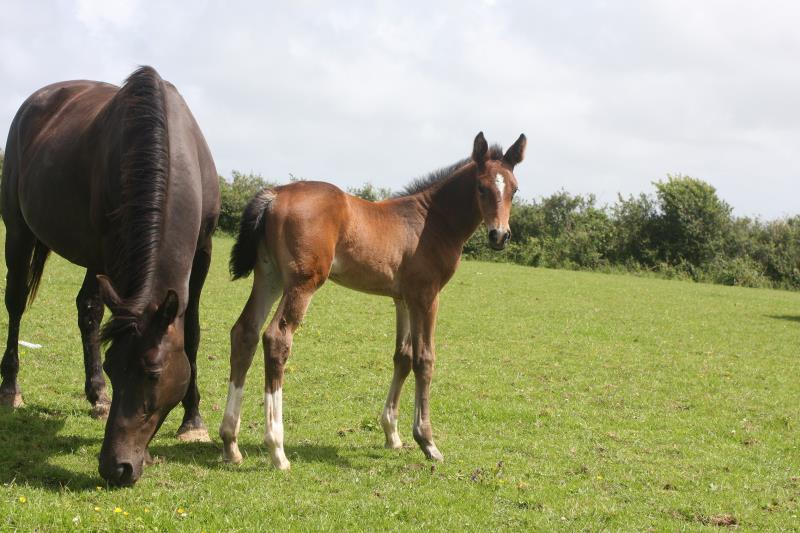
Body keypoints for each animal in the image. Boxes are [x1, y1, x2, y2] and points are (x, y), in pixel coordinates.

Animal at [0, 65, 219, 482]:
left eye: (153, 373)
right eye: (115, 367)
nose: (116, 467)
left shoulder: (203, 253)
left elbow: (194, 332)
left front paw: (193, 421)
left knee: (87, 310)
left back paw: (96, 396)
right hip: (20, 232)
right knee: (17, 304)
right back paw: (10, 388)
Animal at [220, 131, 524, 468]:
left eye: (514, 189)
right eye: (482, 187)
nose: (500, 236)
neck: (431, 221)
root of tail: (275, 194)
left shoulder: (402, 299)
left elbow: (403, 357)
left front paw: (392, 434)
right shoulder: (427, 296)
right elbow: (425, 359)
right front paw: (427, 441)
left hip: (269, 276)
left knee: (244, 333)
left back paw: (231, 443)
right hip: (302, 283)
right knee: (276, 338)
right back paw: (277, 450)